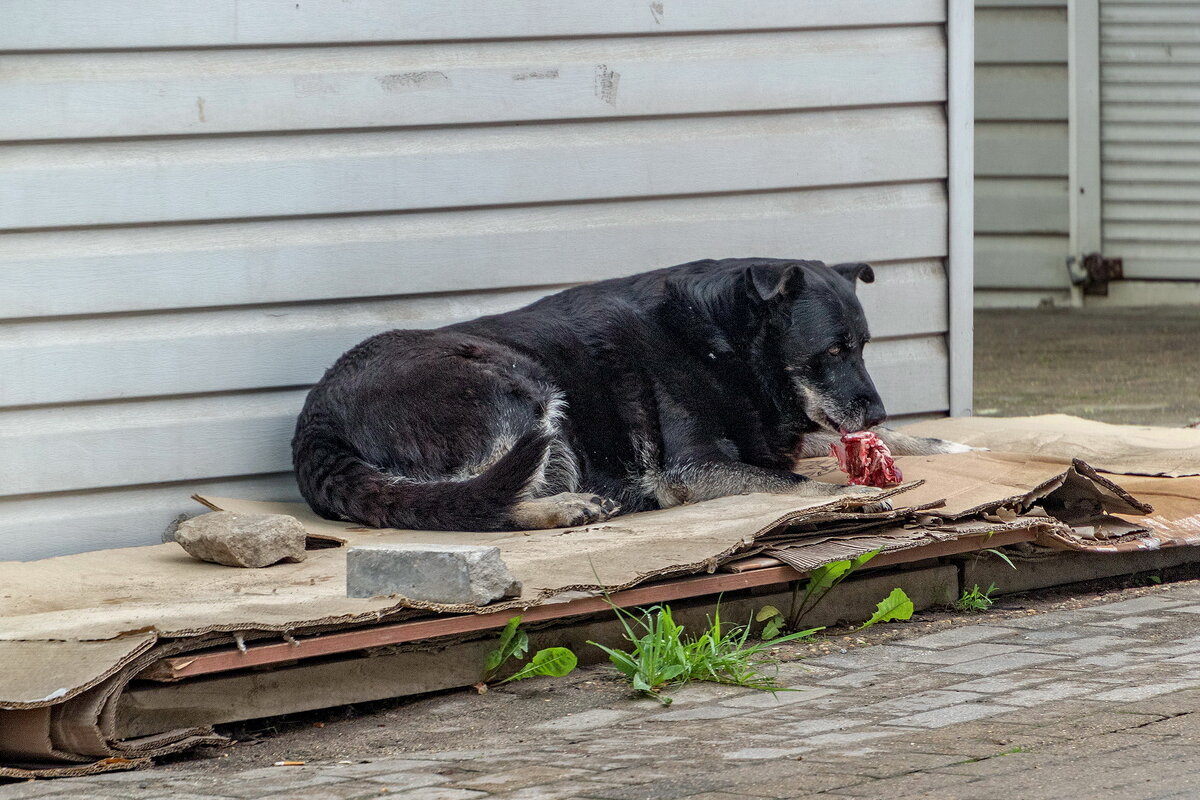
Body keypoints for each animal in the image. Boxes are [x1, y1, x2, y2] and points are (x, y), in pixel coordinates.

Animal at [295, 257, 969, 532]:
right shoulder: (694, 468)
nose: (876, 409)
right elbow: (800, 486)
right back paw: (558, 508)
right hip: (520, 388)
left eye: (865, 347)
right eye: (833, 351)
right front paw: (859, 491)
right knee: (473, 500)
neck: (722, 341)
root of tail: (315, 420)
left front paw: (943, 443)